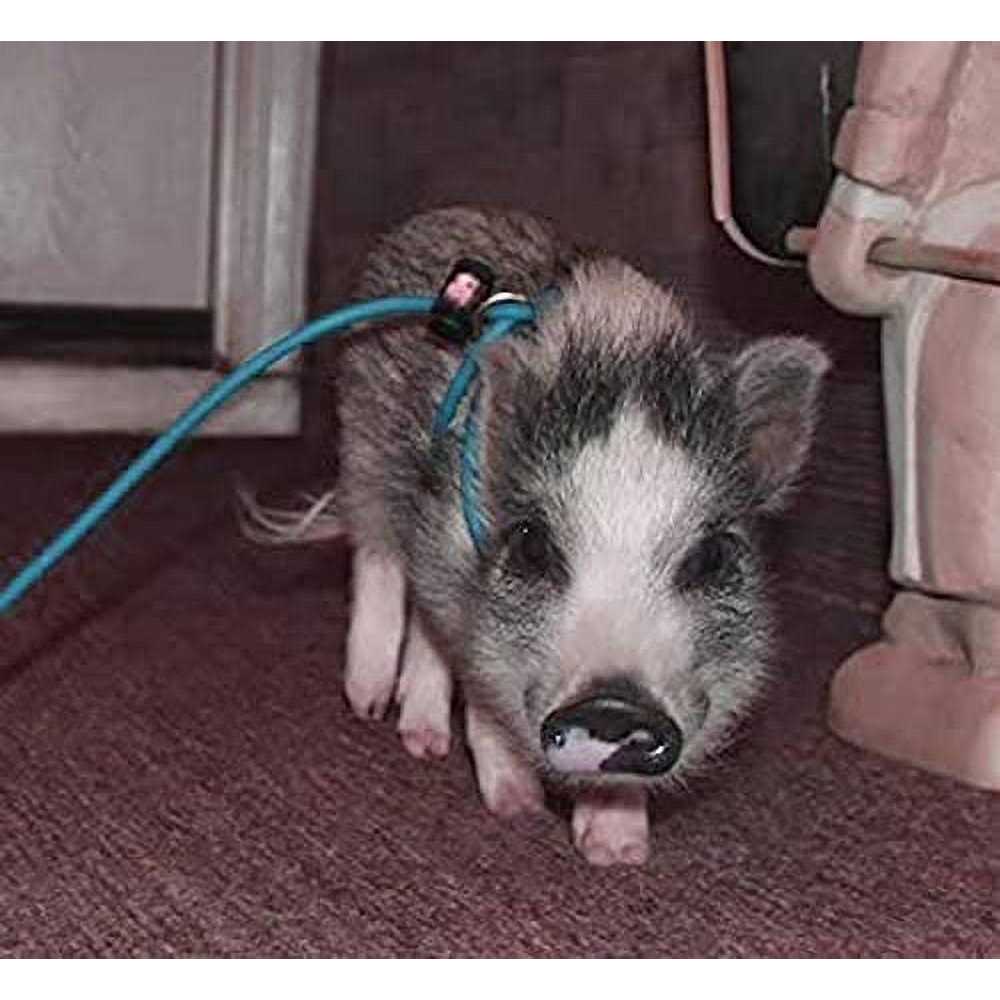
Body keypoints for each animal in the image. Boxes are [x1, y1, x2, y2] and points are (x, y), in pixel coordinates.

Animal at [243, 206, 829, 865]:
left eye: (712, 556)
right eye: (531, 544)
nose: (613, 704)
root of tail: (445, 215)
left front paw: (617, 852)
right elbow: (485, 693)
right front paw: (517, 809)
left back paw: (421, 737)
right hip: (364, 438)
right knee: (379, 554)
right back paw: (373, 704)